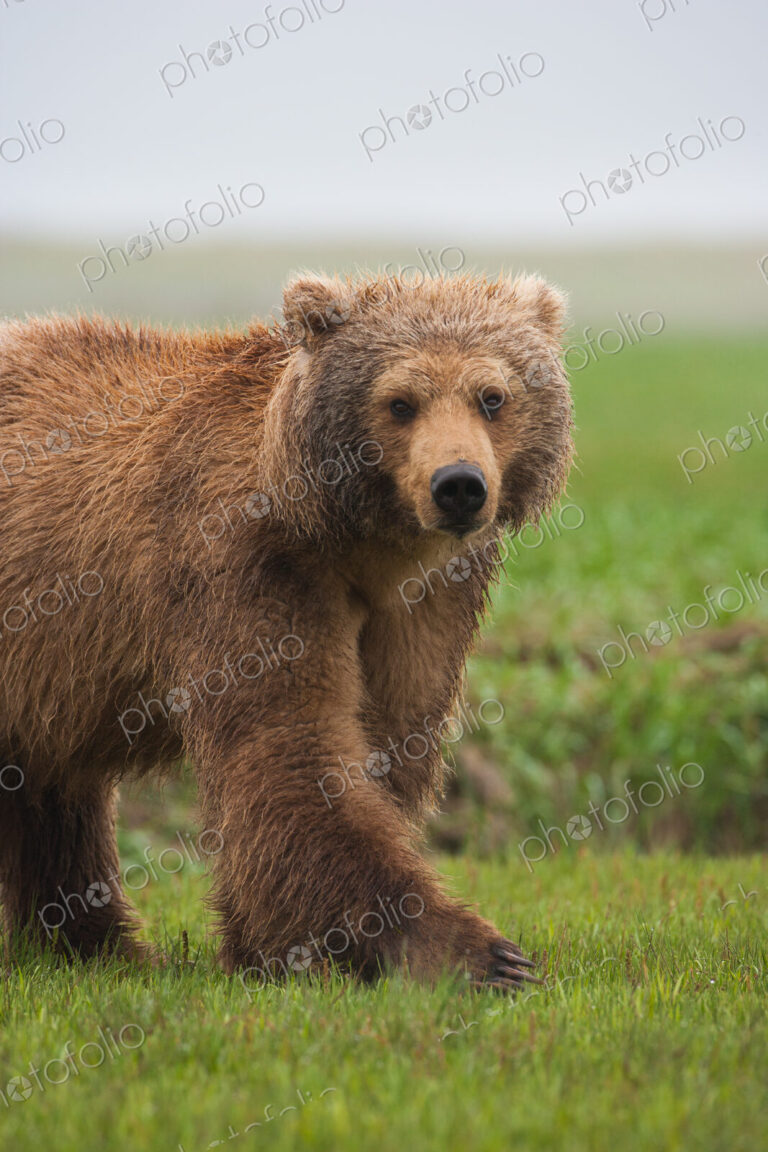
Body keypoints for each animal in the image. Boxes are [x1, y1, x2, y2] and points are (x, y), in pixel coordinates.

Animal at [0, 269, 573, 991]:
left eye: (493, 396)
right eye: (401, 401)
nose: (460, 485)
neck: (362, 544)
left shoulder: (425, 602)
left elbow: (388, 740)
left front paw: (264, 950)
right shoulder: (251, 565)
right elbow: (293, 749)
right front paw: (479, 954)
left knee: (50, 790)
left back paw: (92, 943)